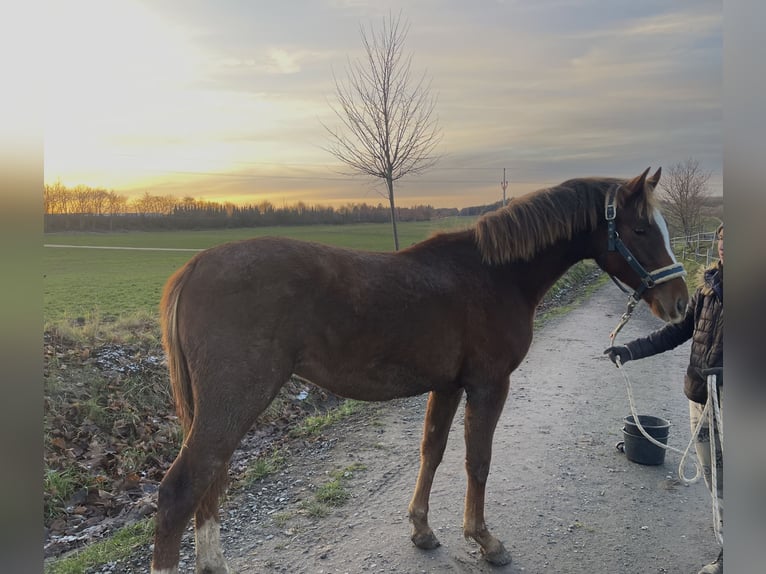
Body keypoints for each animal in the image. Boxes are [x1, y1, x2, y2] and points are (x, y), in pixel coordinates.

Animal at [151, 167, 688, 573]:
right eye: (641, 230)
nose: (680, 302)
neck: (494, 274)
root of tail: (193, 268)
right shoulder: (488, 386)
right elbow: (478, 460)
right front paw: (485, 541)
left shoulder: (447, 387)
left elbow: (433, 451)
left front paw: (423, 530)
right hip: (233, 404)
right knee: (182, 490)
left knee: (207, 484)